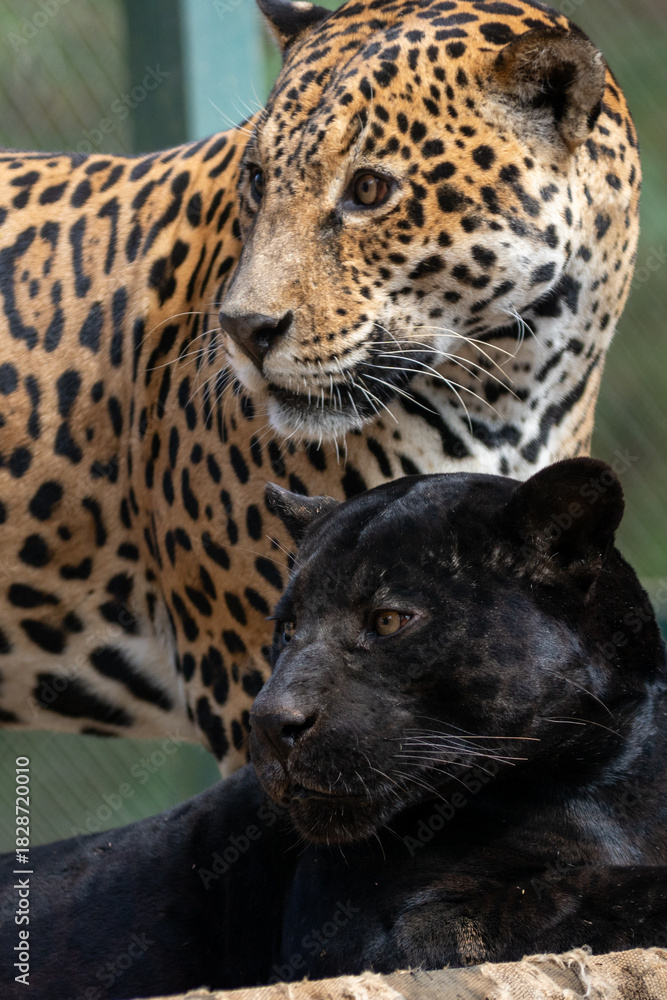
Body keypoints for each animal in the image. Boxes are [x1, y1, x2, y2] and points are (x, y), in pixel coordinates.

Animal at [2, 458, 667, 1000]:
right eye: (288, 627)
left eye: (389, 620)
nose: (270, 722)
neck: (601, 778)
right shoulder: (382, 940)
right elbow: (576, 894)